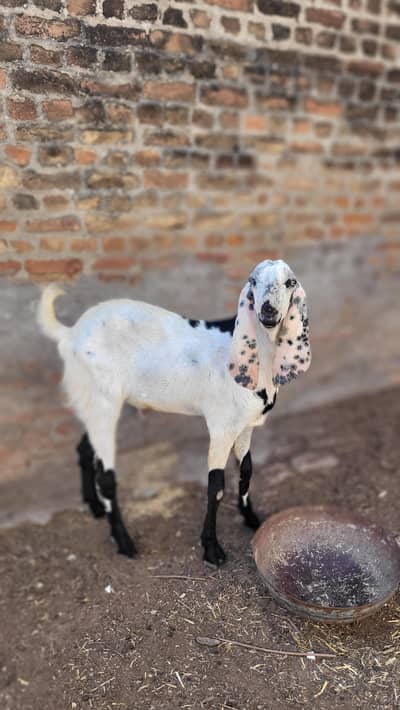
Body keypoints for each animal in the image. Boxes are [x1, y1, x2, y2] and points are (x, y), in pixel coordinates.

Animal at [38, 259, 311, 565]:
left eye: (290, 282)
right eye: (253, 281)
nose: (268, 310)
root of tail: (70, 334)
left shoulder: (246, 424)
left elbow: (247, 470)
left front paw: (252, 519)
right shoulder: (221, 425)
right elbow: (216, 485)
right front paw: (212, 549)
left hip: (92, 400)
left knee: (85, 448)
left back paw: (95, 507)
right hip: (102, 399)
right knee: (107, 476)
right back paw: (124, 543)